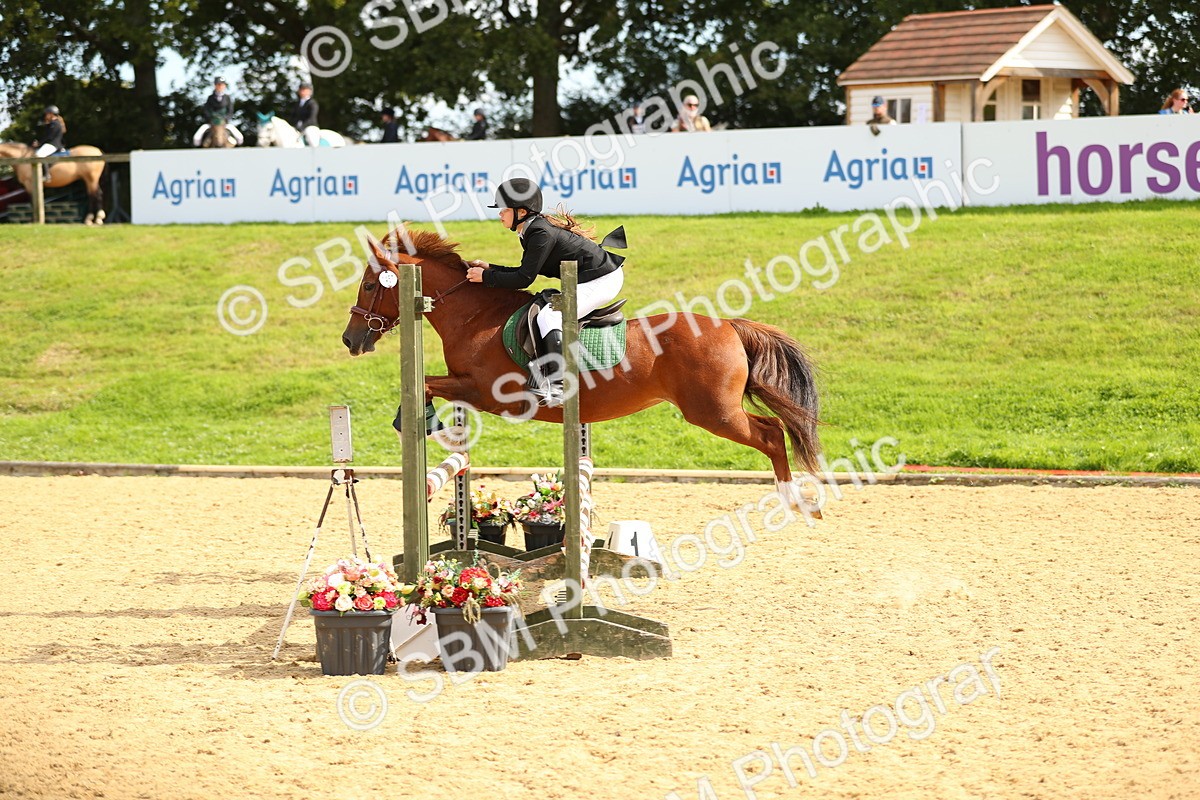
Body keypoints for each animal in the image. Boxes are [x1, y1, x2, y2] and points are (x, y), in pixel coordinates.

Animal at [341, 228, 824, 512]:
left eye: (369, 285)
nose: (350, 340)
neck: (476, 317)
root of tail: (728, 325)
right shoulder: (471, 389)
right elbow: (431, 388)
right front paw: (434, 428)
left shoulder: (493, 394)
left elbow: (425, 384)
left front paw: (422, 425)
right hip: (716, 410)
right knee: (773, 429)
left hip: (712, 412)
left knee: (770, 434)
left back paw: (796, 501)